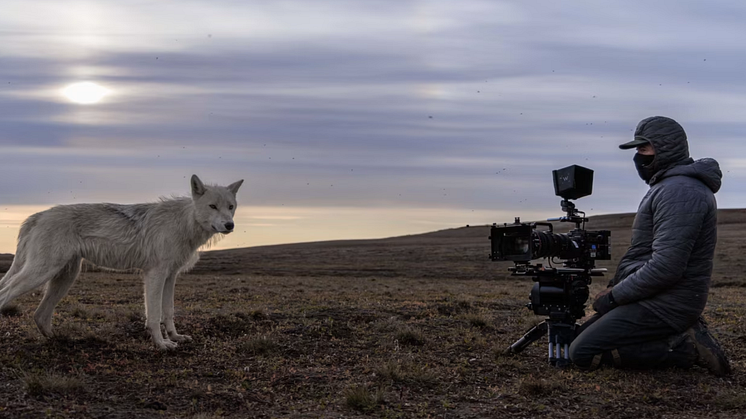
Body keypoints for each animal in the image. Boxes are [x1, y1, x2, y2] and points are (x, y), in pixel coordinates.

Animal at [0, 175, 241, 352]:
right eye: (212, 206)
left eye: (231, 207)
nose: (230, 225)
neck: (184, 223)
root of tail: (38, 215)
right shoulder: (154, 275)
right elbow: (154, 315)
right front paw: (161, 344)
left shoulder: (170, 276)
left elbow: (169, 311)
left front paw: (175, 337)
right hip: (42, 273)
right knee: (7, 294)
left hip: (65, 278)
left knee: (40, 315)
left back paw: (59, 340)